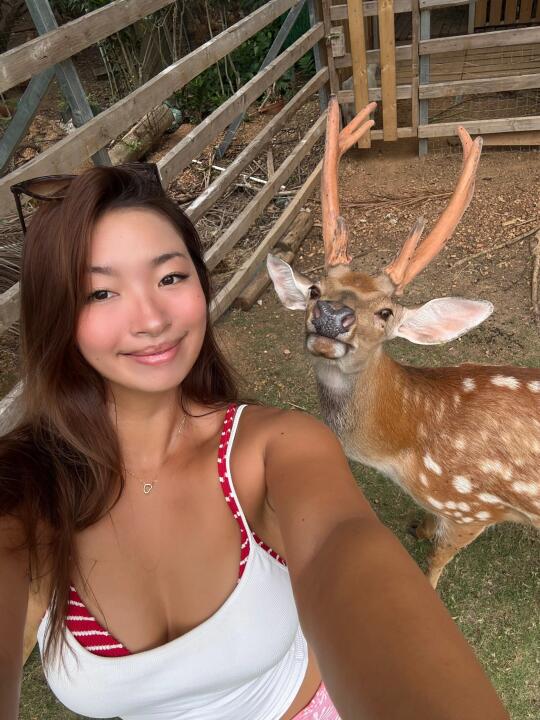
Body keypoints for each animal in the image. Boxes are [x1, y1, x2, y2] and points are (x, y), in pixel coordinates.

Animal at [267, 97, 540, 588]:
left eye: (385, 312)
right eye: (314, 289)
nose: (332, 316)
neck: (408, 454)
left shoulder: (474, 507)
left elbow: (437, 560)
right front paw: (419, 526)